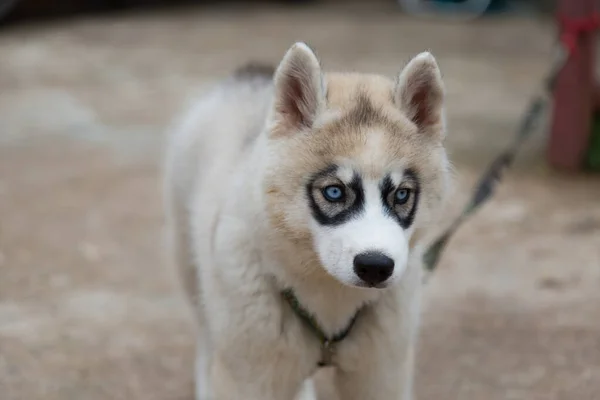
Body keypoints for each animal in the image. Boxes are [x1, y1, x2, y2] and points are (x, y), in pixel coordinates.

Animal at [163, 42, 450, 398]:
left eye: (401, 195)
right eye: (334, 192)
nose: (375, 267)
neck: (330, 297)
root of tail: (249, 74)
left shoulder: (381, 372)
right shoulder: (251, 373)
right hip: (195, 273)